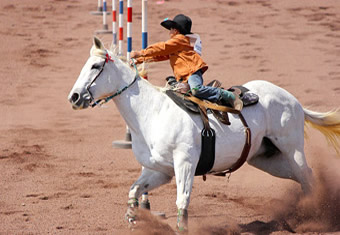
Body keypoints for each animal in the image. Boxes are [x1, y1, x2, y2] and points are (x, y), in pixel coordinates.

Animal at [67, 37, 340, 231]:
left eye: (95, 65)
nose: (74, 97)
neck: (152, 113)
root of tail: (293, 100)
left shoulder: (185, 164)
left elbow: (182, 201)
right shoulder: (160, 170)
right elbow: (134, 190)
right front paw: (134, 219)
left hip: (292, 149)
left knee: (307, 177)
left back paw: (316, 217)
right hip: (266, 159)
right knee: (304, 179)